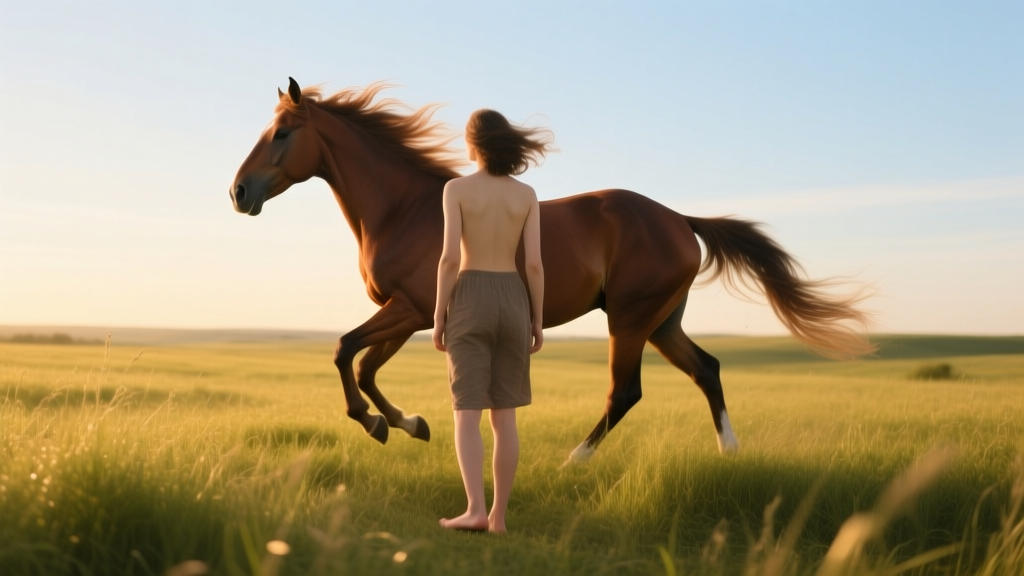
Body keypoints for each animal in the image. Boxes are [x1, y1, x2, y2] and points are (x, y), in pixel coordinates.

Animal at [230, 78, 874, 462]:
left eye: (282, 134)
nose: (238, 193)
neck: (405, 209)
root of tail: (679, 220)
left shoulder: (409, 310)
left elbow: (346, 353)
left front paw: (382, 424)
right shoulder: (413, 315)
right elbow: (362, 366)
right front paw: (407, 424)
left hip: (630, 321)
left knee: (626, 392)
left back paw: (574, 461)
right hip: (663, 323)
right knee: (707, 369)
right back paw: (730, 452)